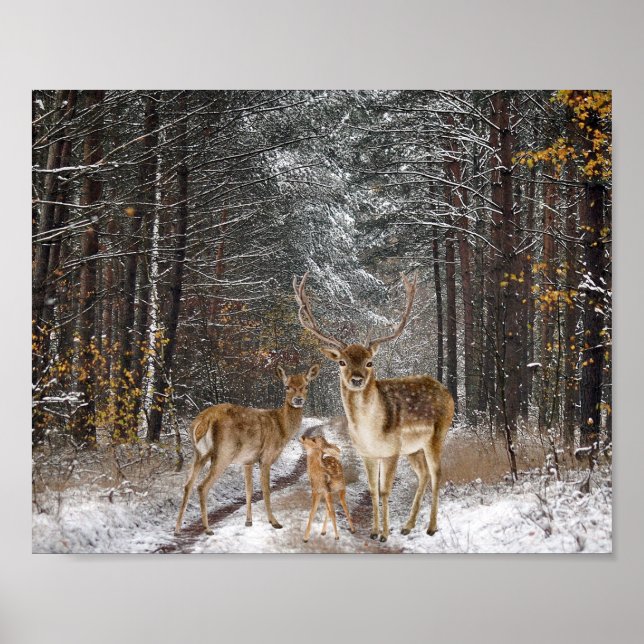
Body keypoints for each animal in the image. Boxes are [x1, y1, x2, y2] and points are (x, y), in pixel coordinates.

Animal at [174, 363, 320, 535]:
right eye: (287, 386)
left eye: (306, 386)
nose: (298, 400)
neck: (281, 428)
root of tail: (204, 420)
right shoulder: (266, 457)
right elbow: (265, 489)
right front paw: (274, 522)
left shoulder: (248, 461)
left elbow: (249, 490)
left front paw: (248, 521)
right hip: (224, 452)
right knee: (202, 486)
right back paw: (208, 529)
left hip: (198, 454)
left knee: (187, 485)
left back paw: (177, 529)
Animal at [293, 272, 454, 542]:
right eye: (342, 362)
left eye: (370, 362)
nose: (357, 379)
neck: (370, 431)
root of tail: (447, 392)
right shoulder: (367, 453)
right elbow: (372, 490)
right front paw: (375, 531)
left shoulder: (391, 451)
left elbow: (385, 491)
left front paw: (385, 534)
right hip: (413, 448)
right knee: (422, 474)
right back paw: (408, 525)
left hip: (437, 435)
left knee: (436, 474)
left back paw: (431, 527)